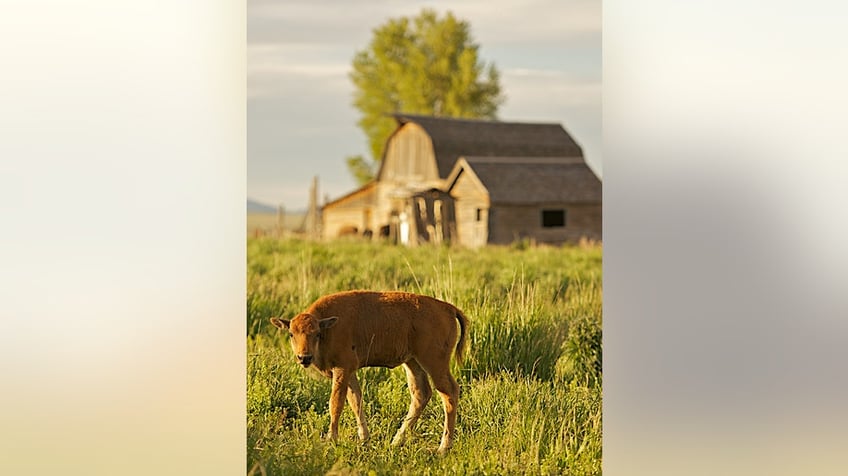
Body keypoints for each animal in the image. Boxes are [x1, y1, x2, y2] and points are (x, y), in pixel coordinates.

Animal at [270, 290, 468, 454]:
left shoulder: (342, 368)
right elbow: (356, 401)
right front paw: (364, 440)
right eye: (291, 334)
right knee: (421, 393)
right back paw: (396, 441)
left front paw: (331, 440)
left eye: (316, 333)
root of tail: (448, 308)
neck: (328, 327)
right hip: (412, 362)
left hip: (434, 363)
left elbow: (336, 403)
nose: (304, 357)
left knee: (449, 392)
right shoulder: (350, 372)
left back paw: (443, 448)